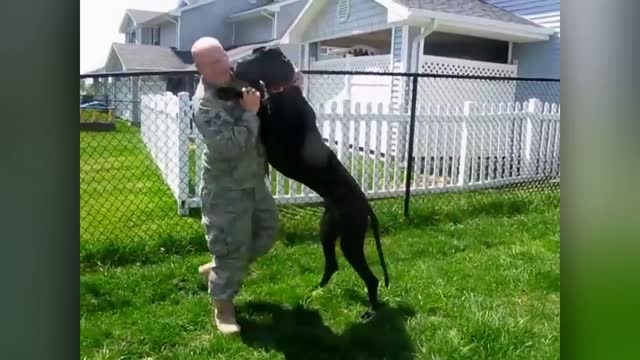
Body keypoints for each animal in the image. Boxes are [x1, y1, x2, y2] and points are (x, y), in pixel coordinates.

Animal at [219, 46, 390, 316]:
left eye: (255, 58)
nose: (234, 66)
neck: (282, 90)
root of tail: (366, 206)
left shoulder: (267, 126)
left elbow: (254, 100)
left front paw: (230, 91)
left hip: (350, 240)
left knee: (370, 278)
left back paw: (371, 311)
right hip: (327, 231)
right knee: (332, 265)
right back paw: (316, 290)